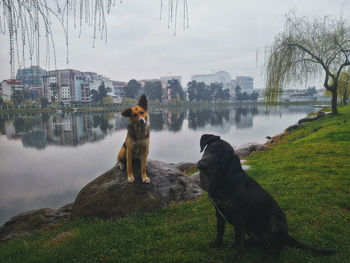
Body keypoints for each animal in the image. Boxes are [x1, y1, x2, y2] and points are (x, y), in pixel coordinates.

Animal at [196, 135, 334, 262]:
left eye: (223, 159)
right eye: (211, 148)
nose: (202, 165)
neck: (223, 180)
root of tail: (287, 236)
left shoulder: (239, 219)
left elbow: (239, 243)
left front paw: (235, 258)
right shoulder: (219, 212)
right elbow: (220, 231)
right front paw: (217, 244)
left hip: (275, 221)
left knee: (277, 249)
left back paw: (267, 257)